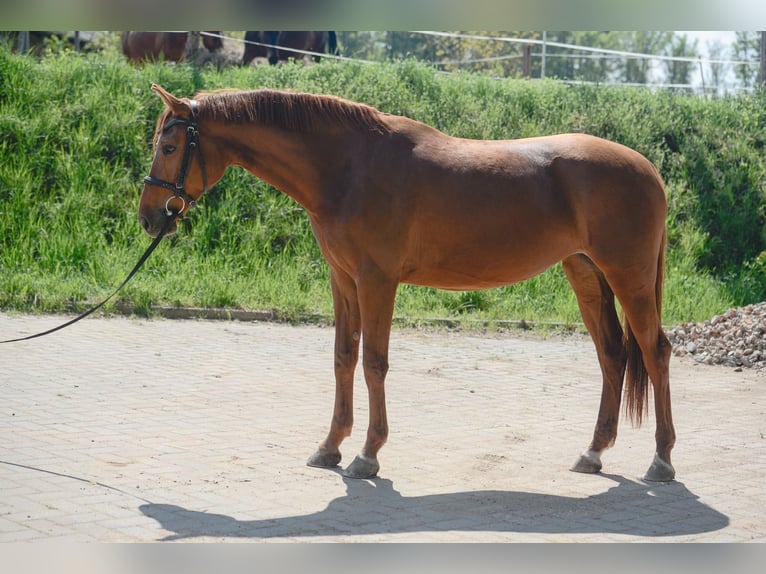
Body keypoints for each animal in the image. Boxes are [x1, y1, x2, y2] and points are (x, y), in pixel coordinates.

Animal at [138, 84, 676, 483]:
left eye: (169, 147)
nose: (149, 217)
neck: (350, 166)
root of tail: (648, 169)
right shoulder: (343, 280)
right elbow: (344, 357)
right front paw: (330, 447)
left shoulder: (377, 280)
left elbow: (374, 363)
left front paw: (367, 455)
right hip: (585, 273)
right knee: (612, 354)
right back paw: (594, 453)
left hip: (628, 278)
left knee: (654, 352)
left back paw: (662, 460)